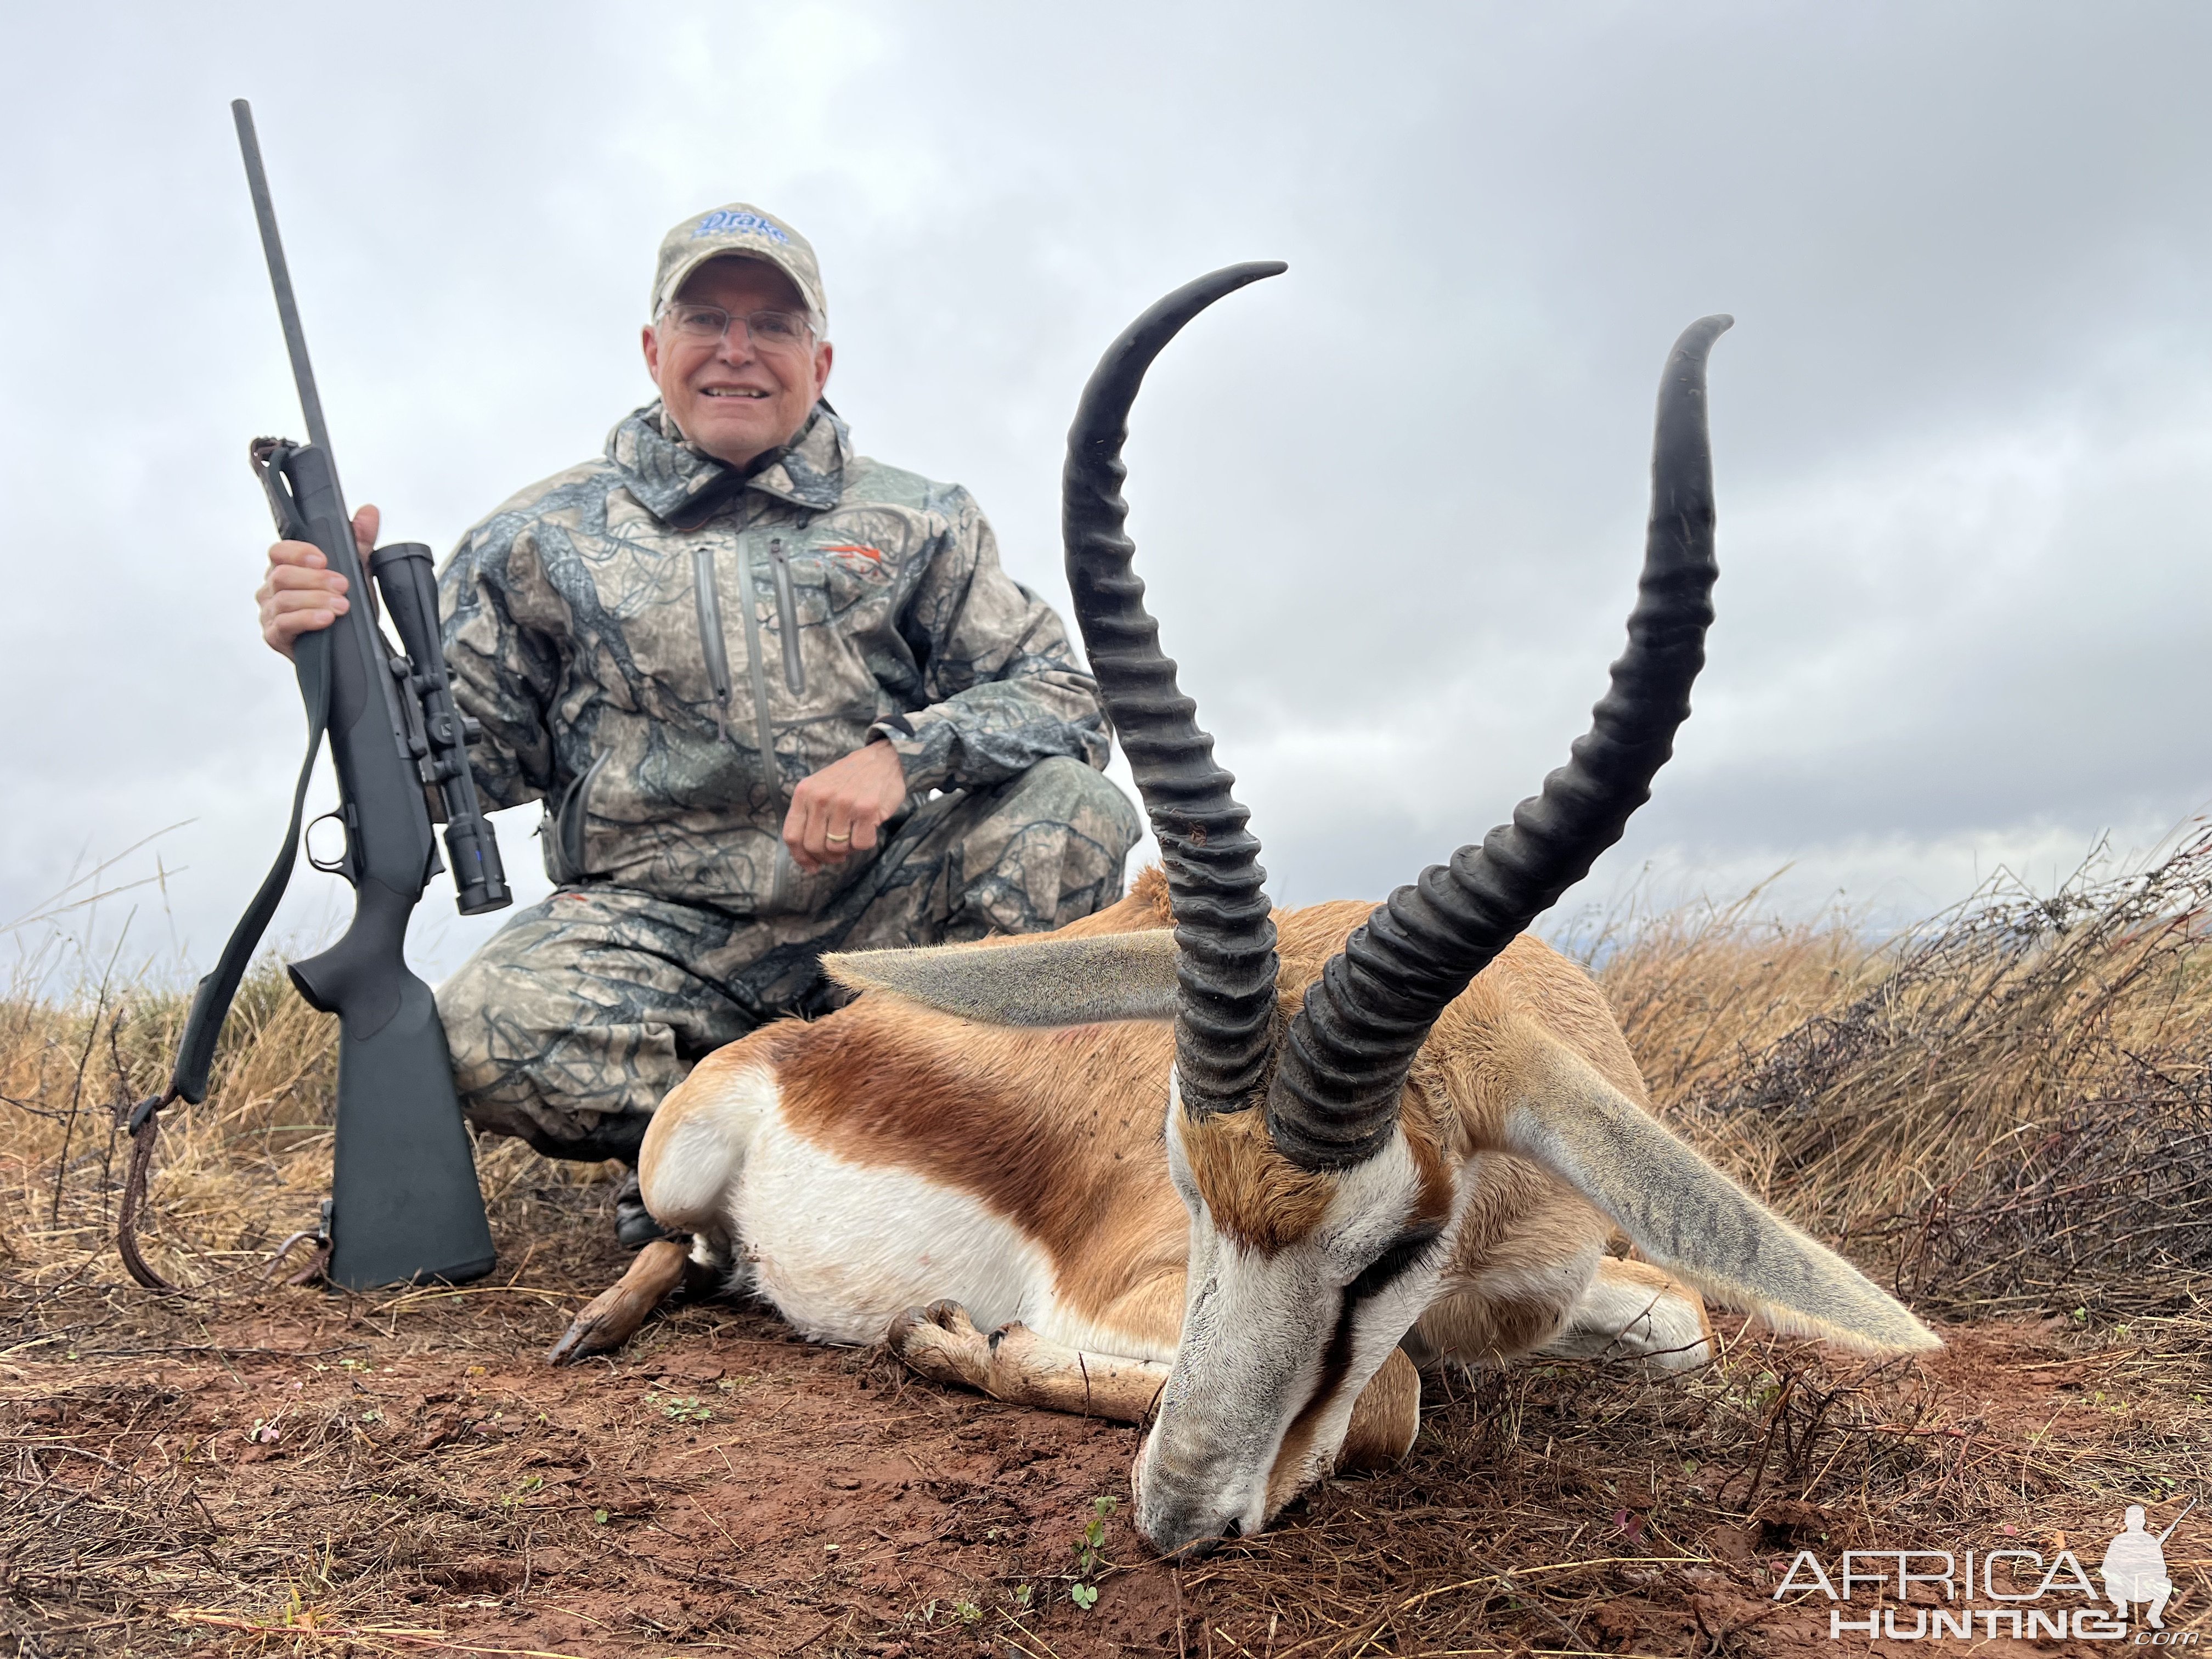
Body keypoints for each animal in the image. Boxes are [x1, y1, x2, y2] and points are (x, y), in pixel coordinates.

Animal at [553, 269, 1938, 1557]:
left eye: (1392, 1251)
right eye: (1185, 1181)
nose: (1176, 1516)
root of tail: (797, 1041)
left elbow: (1687, 1321)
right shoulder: (1125, 1292)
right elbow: (1391, 1401)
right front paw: (959, 1342)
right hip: (678, 1166)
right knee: (676, 1241)